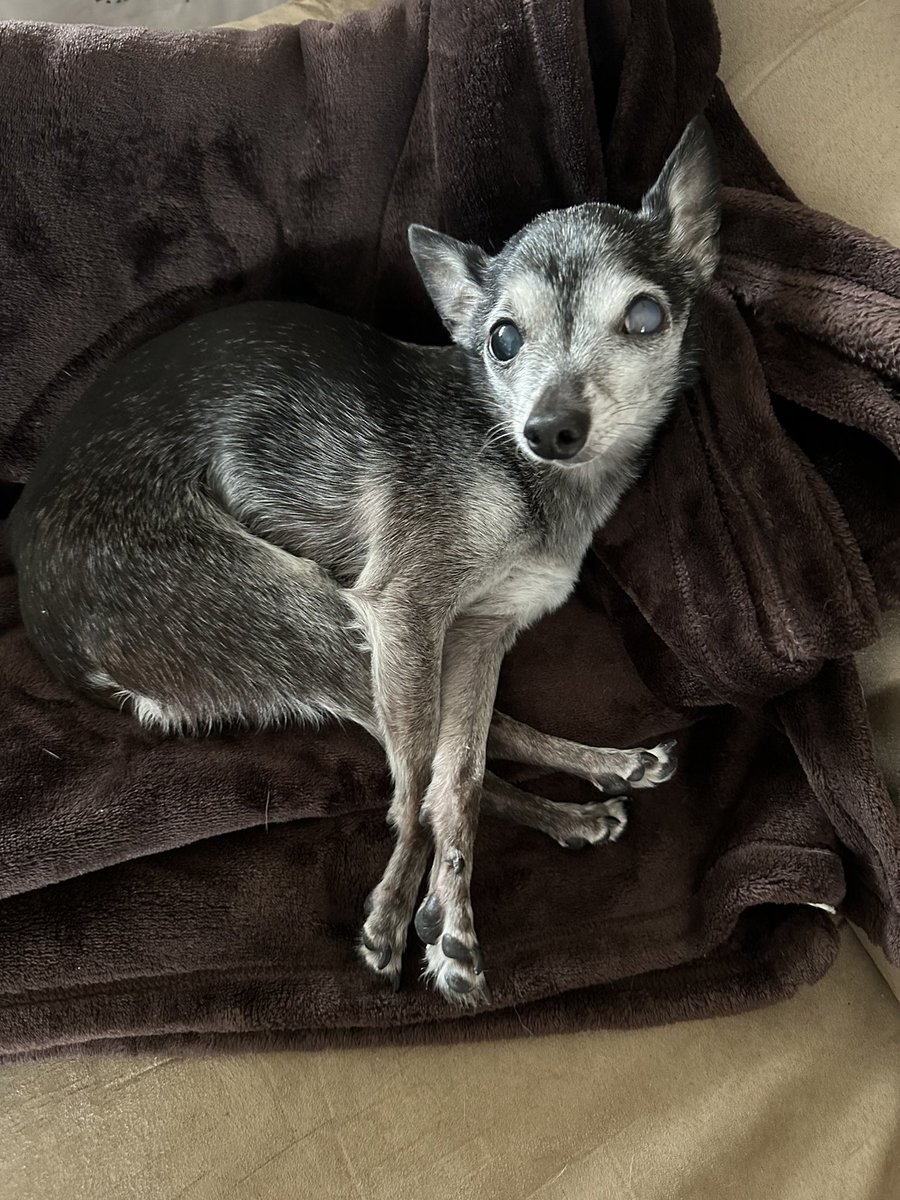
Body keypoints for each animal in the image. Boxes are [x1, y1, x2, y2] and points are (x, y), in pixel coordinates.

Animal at [8, 117, 720, 1008]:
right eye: (502, 339)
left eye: (646, 316)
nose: (550, 427)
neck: (523, 471)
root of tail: (40, 616)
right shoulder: (407, 610)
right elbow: (423, 785)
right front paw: (409, 919)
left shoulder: (478, 631)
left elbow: (459, 775)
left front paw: (443, 907)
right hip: (300, 611)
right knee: (415, 756)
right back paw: (561, 818)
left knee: (470, 747)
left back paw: (603, 780)